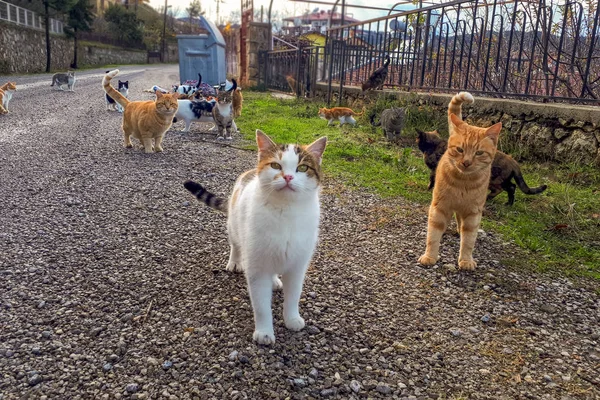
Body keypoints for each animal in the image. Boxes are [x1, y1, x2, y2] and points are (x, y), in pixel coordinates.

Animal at [185, 130, 330, 344]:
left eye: (302, 167)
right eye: (276, 165)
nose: (288, 176)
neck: (285, 211)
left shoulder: (297, 265)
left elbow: (293, 296)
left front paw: (292, 318)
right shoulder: (257, 266)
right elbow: (261, 305)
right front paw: (264, 332)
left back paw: (275, 281)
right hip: (235, 228)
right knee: (235, 245)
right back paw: (235, 262)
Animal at [418, 92, 502, 270]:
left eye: (479, 153)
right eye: (460, 149)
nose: (466, 162)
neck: (463, 182)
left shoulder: (473, 213)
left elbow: (468, 240)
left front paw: (466, 260)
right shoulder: (439, 207)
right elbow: (433, 236)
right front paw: (430, 257)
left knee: (460, 221)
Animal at [418, 130, 548, 205]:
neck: (434, 146)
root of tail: (514, 162)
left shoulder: (435, 170)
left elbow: (432, 181)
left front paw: (429, 189)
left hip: (493, 180)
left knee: (501, 189)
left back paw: (489, 198)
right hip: (504, 180)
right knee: (512, 187)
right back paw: (509, 203)